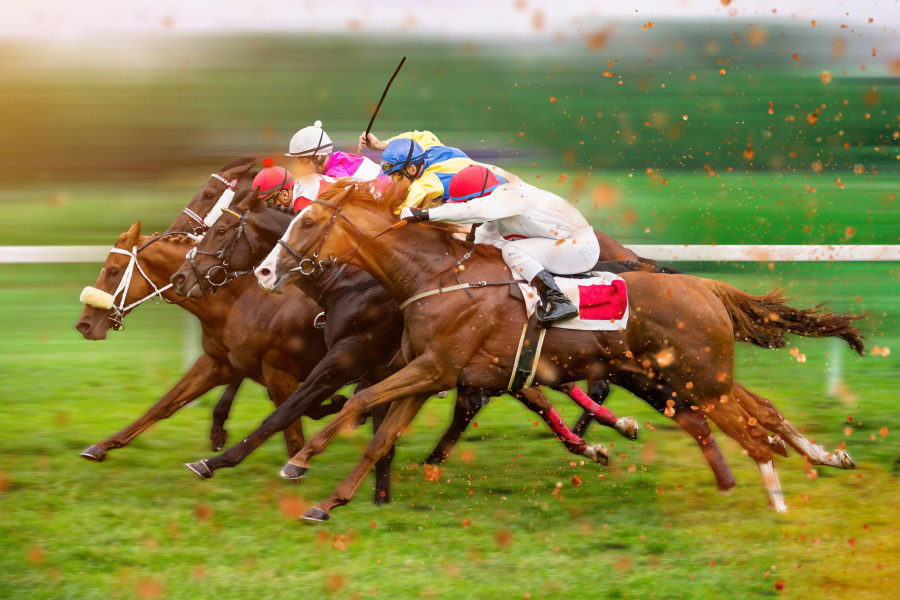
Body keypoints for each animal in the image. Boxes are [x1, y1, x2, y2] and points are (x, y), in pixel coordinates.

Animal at [268, 179, 864, 520]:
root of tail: (703, 286)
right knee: (763, 411)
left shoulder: (434, 368)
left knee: (753, 431)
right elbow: (379, 434)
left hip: (698, 379)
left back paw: (778, 498)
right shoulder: (431, 372)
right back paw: (820, 458)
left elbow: (357, 401)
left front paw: (298, 462)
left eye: (310, 220)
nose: (268, 272)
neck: (438, 276)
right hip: (700, 376)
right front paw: (328, 502)